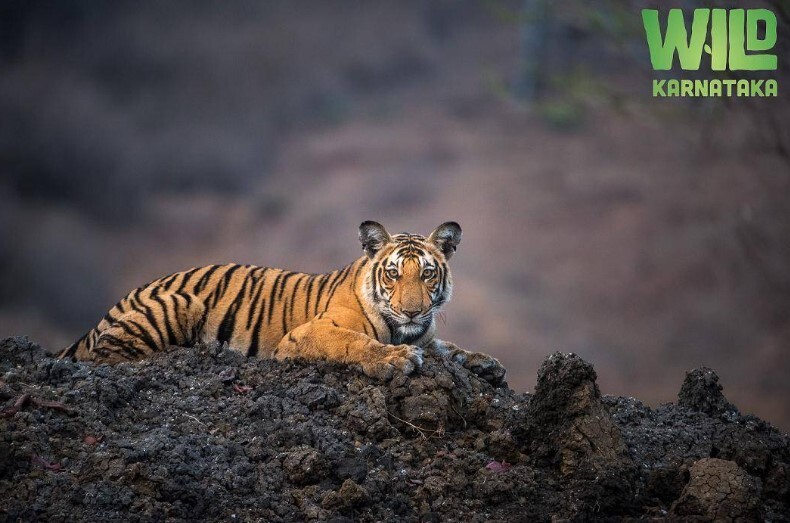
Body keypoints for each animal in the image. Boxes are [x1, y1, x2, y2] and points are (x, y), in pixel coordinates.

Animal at [60, 221, 508, 384]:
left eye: (428, 274)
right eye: (394, 274)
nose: (413, 310)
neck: (405, 329)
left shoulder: (427, 336)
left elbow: (448, 347)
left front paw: (485, 363)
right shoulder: (309, 333)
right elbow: (354, 342)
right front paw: (394, 360)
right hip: (180, 304)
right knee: (108, 358)